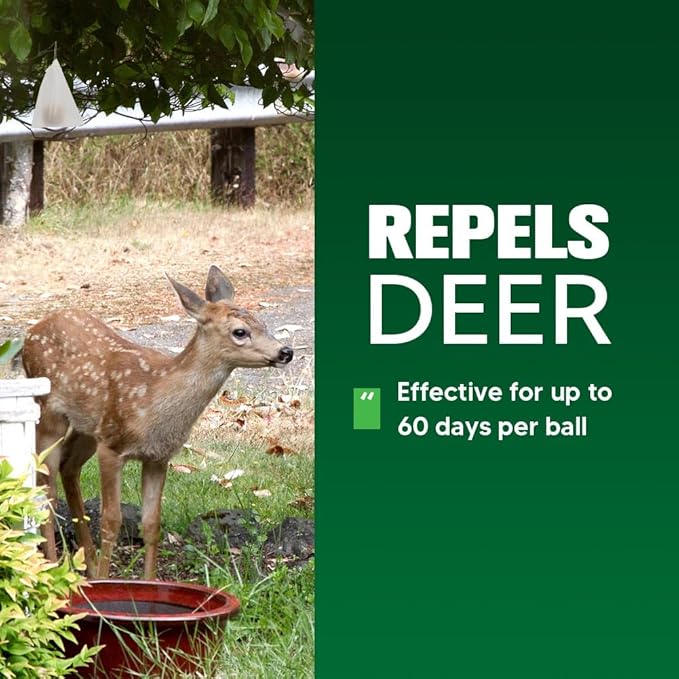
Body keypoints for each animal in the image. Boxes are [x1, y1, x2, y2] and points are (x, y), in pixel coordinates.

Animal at [22, 266, 293, 580]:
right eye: (240, 331)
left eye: (263, 322)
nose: (286, 351)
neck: (155, 402)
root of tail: (30, 333)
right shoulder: (112, 447)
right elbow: (111, 521)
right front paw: (105, 581)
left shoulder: (158, 457)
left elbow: (152, 524)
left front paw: (148, 582)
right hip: (49, 413)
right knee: (46, 487)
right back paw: (53, 568)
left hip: (86, 426)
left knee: (69, 467)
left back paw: (86, 566)